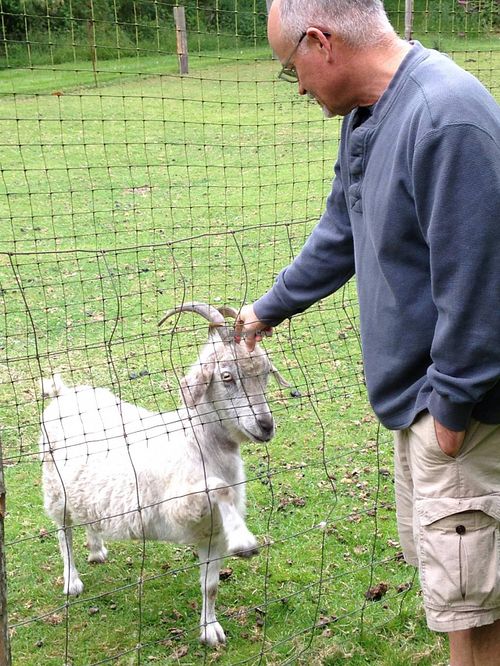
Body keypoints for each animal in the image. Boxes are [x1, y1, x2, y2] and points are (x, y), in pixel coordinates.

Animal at [39, 302, 288, 646]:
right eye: (226, 376)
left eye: (265, 374)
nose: (266, 426)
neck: (197, 441)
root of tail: (63, 395)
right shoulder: (178, 507)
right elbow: (218, 488)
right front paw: (245, 541)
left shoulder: (211, 534)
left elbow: (210, 586)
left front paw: (210, 630)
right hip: (55, 489)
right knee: (64, 533)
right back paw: (71, 580)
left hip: (85, 490)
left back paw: (97, 549)